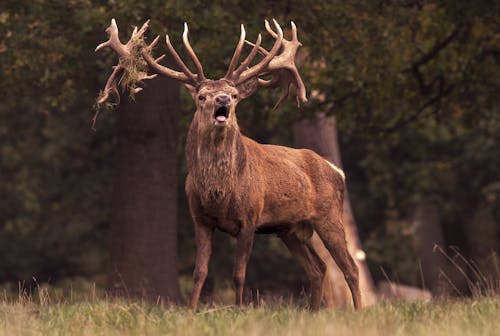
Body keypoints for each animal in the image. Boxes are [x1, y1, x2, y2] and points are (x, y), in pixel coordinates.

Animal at [95, 17, 362, 308]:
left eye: (233, 95)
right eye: (201, 96)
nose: (222, 99)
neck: (219, 194)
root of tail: (337, 171)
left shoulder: (250, 218)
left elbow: (239, 274)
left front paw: (239, 308)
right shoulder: (200, 219)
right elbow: (200, 272)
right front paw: (192, 310)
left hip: (329, 214)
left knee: (350, 267)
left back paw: (356, 311)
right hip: (288, 228)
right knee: (318, 268)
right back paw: (314, 312)